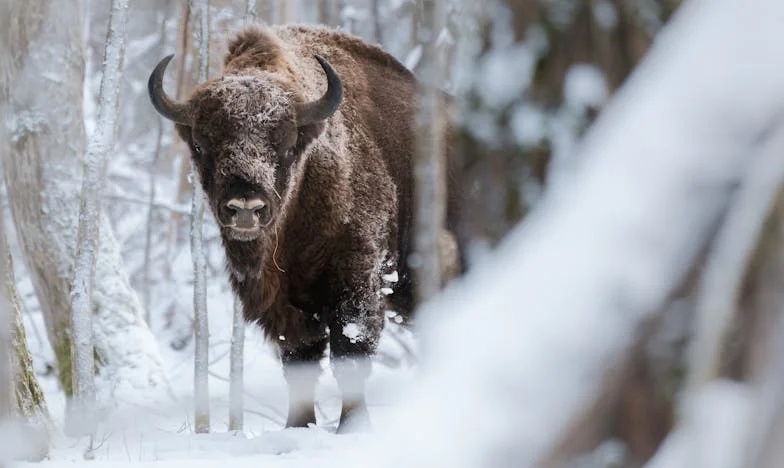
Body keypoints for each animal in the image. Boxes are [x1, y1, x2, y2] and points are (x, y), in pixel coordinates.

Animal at [150, 23, 462, 434]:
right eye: (202, 146)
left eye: (286, 147)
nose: (245, 208)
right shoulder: (289, 308)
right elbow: (300, 362)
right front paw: (297, 427)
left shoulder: (358, 285)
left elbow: (350, 356)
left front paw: (353, 429)